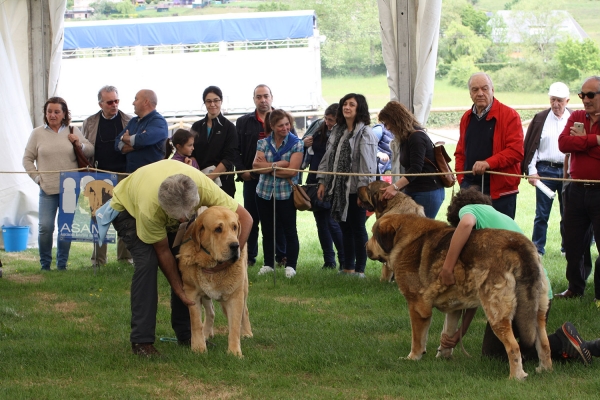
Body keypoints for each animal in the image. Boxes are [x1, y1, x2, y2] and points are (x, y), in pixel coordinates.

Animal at [178, 206, 253, 356]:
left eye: (234, 227)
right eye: (218, 229)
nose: (235, 245)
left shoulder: (235, 296)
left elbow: (235, 325)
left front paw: (234, 352)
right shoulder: (191, 293)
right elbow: (196, 323)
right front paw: (199, 347)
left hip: (244, 287)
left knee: (245, 311)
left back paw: (247, 332)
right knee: (210, 312)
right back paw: (206, 332)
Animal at [364, 212, 552, 378]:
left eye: (374, 235)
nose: (365, 246)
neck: (403, 239)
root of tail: (518, 246)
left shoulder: (417, 306)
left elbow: (417, 338)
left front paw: (413, 357)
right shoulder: (454, 307)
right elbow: (448, 331)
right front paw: (443, 355)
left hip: (497, 313)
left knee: (513, 347)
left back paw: (516, 376)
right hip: (537, 311)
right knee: (544, 343)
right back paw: (544, 370)